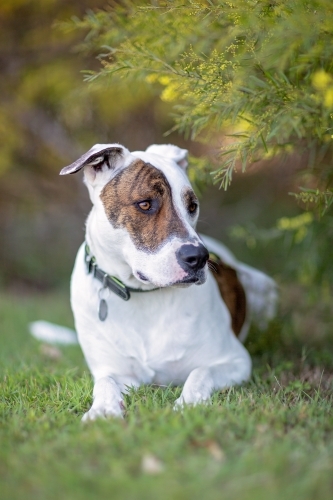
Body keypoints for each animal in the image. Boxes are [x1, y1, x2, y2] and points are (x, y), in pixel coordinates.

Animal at [31, 143, 276, 420]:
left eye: (192, 206)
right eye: (145, 204)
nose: (199, 257)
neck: (142, 294)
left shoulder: (235, 360)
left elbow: (201, 372)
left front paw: (188, 405)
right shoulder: (116, 371)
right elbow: (104, 383)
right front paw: (102, 409)